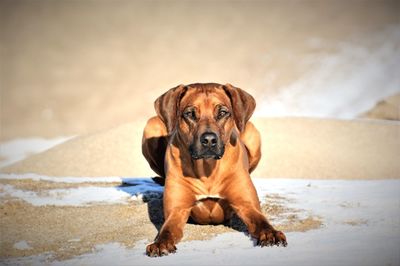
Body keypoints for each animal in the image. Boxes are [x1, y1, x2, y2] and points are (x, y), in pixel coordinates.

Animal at [142, 82, 286, 256]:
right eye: (190, 114)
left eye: (222, 112)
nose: (209, 140)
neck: (207, 169)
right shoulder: (177, 210)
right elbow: (167, 230)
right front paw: (160, 243)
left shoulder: (247, 205)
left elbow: (261, 221)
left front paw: (271, 234)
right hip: (151, 125)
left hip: (253, 134)